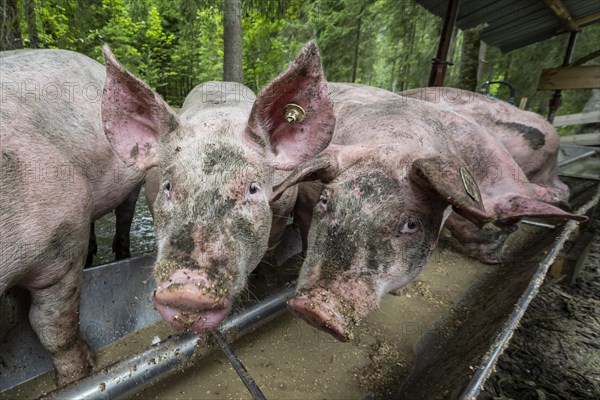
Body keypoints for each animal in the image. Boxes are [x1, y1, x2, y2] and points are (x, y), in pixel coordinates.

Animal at [0, 49, 145, 384]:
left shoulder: (63, 218)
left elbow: (49, 324)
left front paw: (77, 376)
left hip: (131, 179)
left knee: (124, 216)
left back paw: (121, 254)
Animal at [102, 42, 338, 332]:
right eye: (168, 186)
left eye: (252, 188)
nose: (188, 285)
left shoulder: (283, 209)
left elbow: (271, 247)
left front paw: (264, 278)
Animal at [274, 84, 588, 340]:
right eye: (326, 201)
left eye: (411, 224)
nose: (315, 309)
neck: (392, 142)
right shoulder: (306, 202)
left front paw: (399, 292)